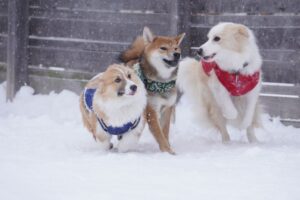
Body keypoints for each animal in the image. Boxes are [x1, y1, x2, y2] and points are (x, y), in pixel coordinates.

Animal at [120, 27, 185, 155]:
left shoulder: (167, 109)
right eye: (163, 48)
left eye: (176, 48)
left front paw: (168, 148)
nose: (177, 54)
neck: (161, 83)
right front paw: (168, 151)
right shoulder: (151, 111)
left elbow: (165, 132)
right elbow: (159, 134)